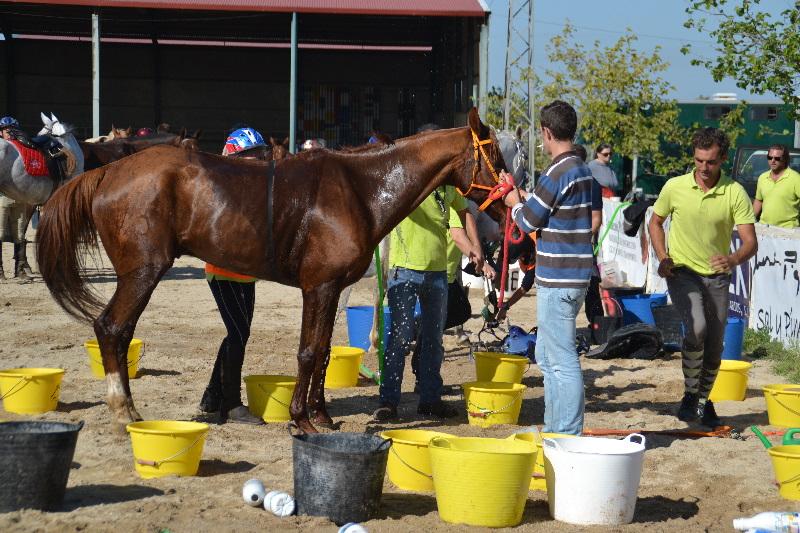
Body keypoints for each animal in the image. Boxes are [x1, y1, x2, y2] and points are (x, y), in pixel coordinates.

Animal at [36, 107, 506, 432]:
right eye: (497, 157)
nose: (509, 203)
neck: (361, 188)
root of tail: (106, 173)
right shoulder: (318, 287)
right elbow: (307, 352)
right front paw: (301, 418)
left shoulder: (332, 288)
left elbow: (323, 352)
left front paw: (322, 415)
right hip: (142, 273)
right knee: (112, 329)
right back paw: (125, 412)